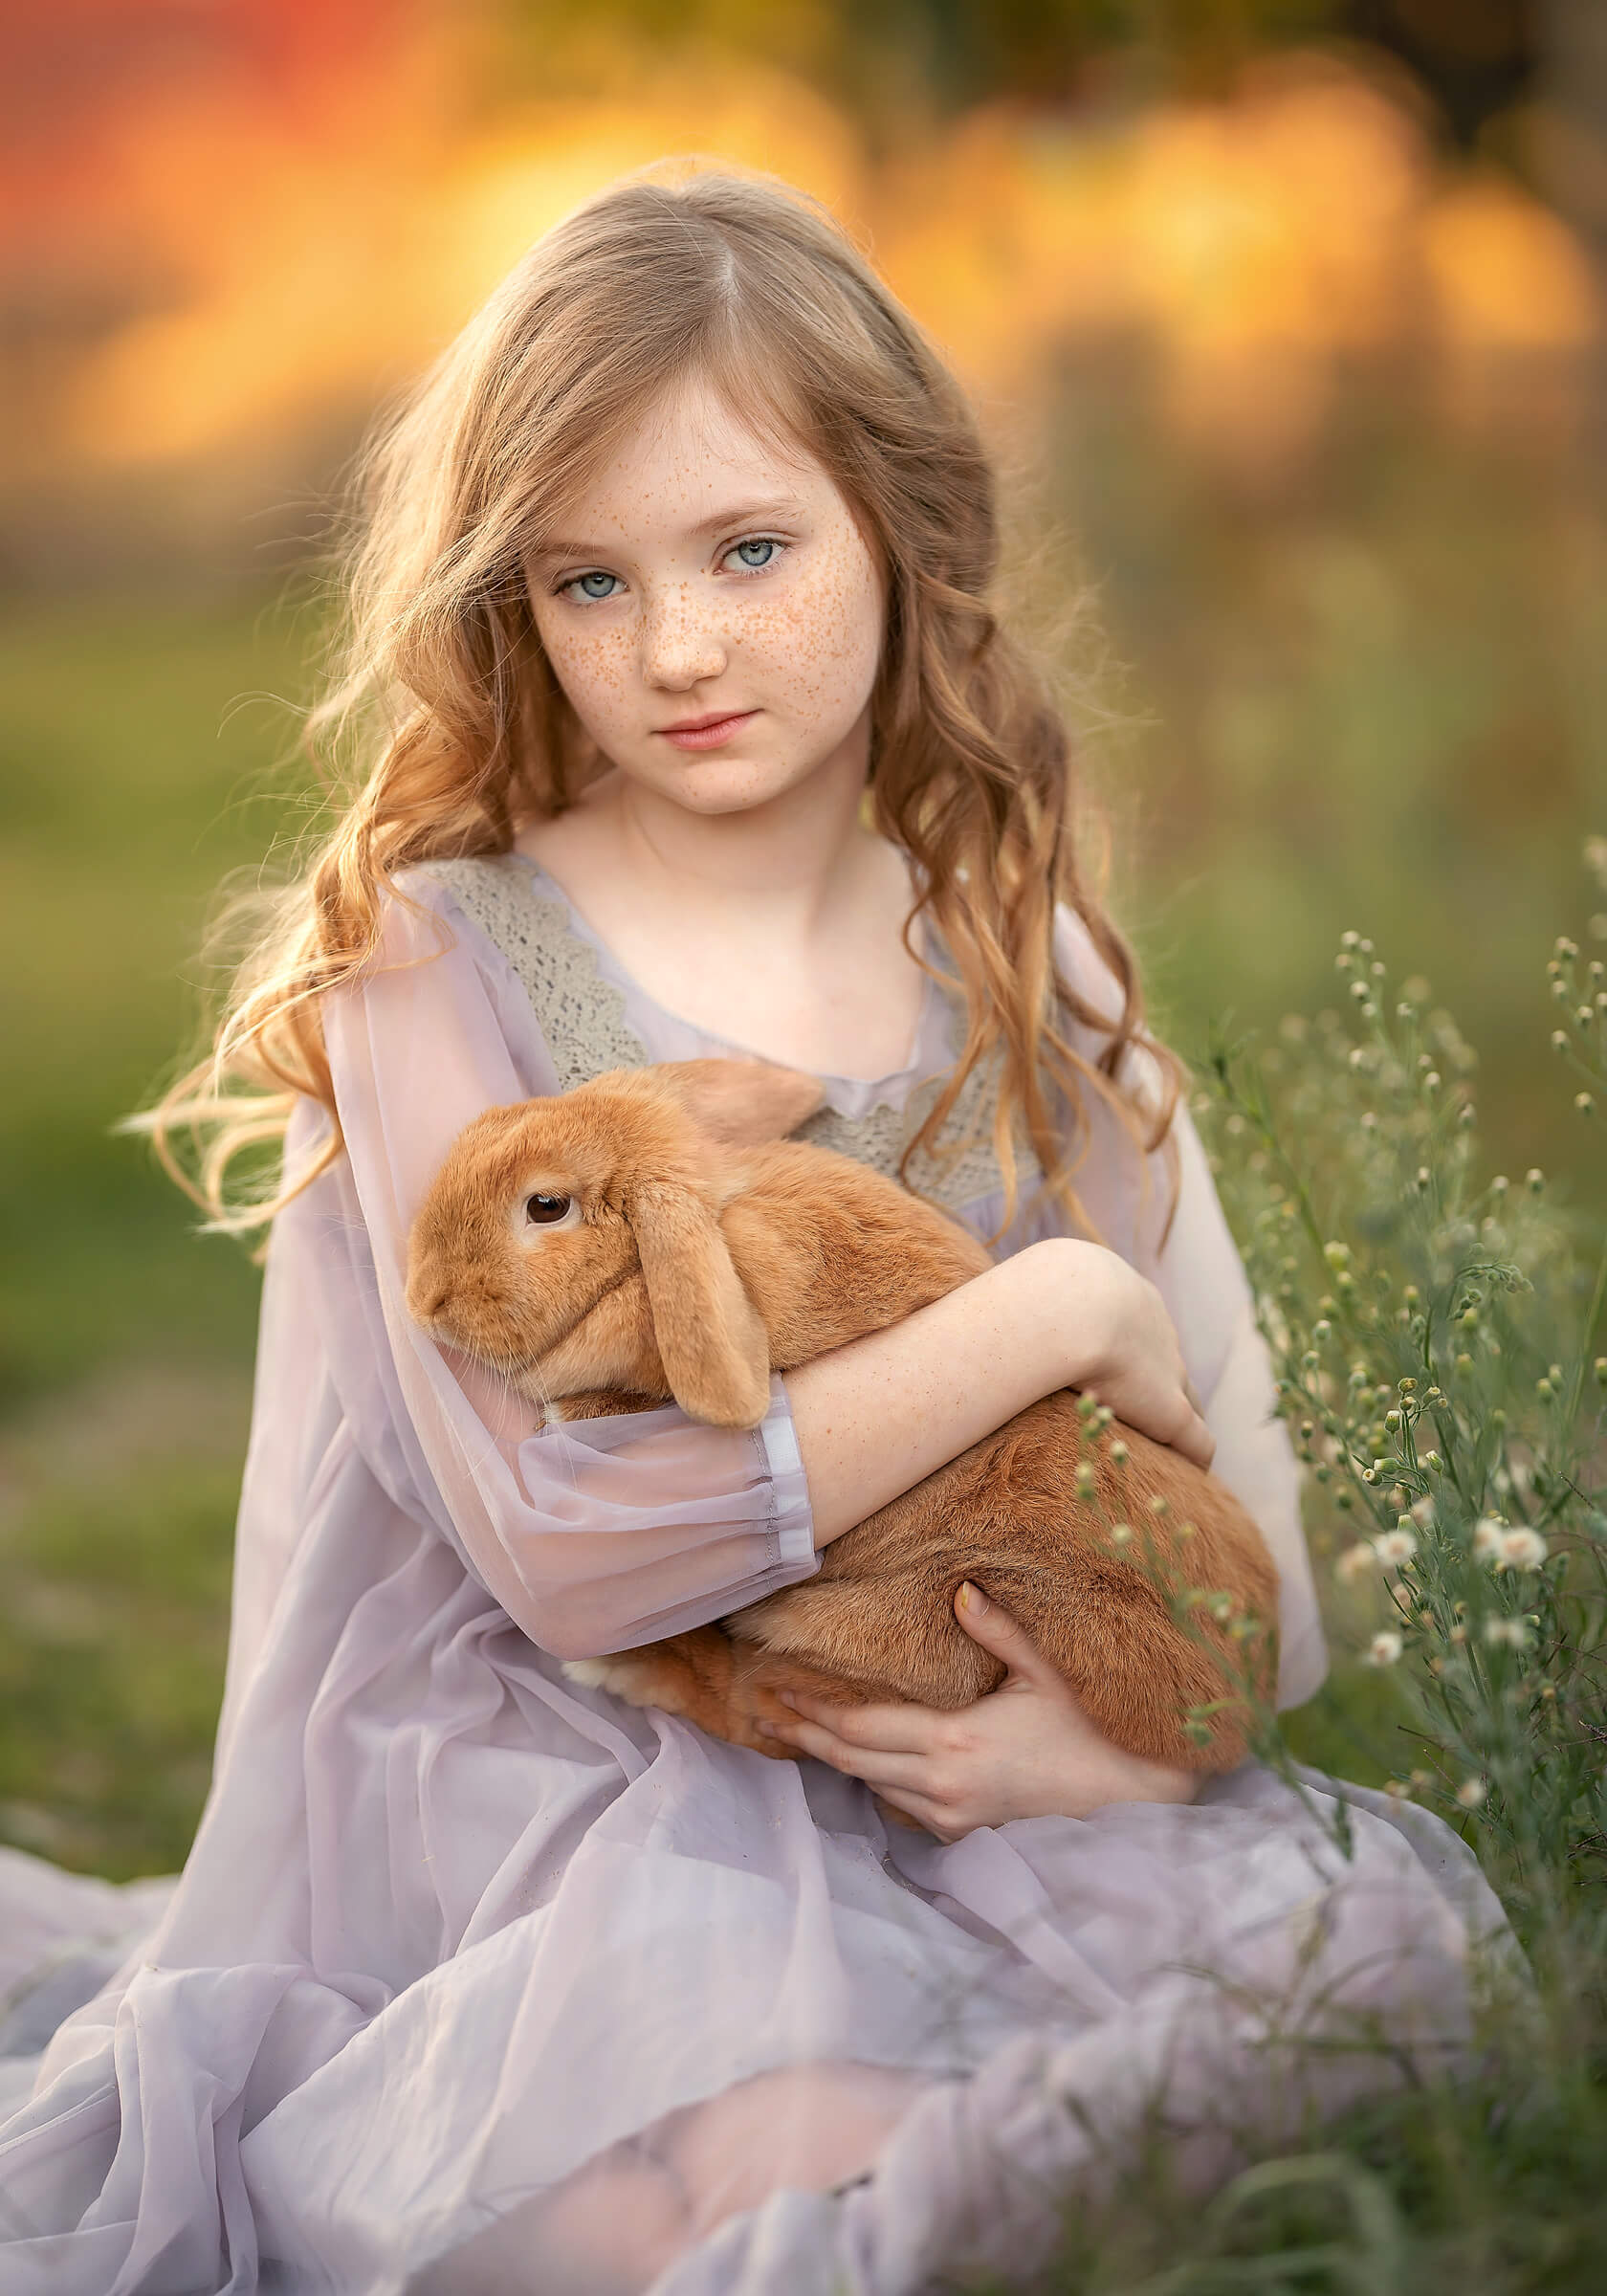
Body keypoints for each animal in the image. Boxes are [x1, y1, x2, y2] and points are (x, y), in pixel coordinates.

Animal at [404, 1056, 1276, 1772]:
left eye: (546, 1206)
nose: (421, 1296)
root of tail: (1232, 1728)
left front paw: (575, 1407)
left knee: (752, 1711)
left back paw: (621, 1666)